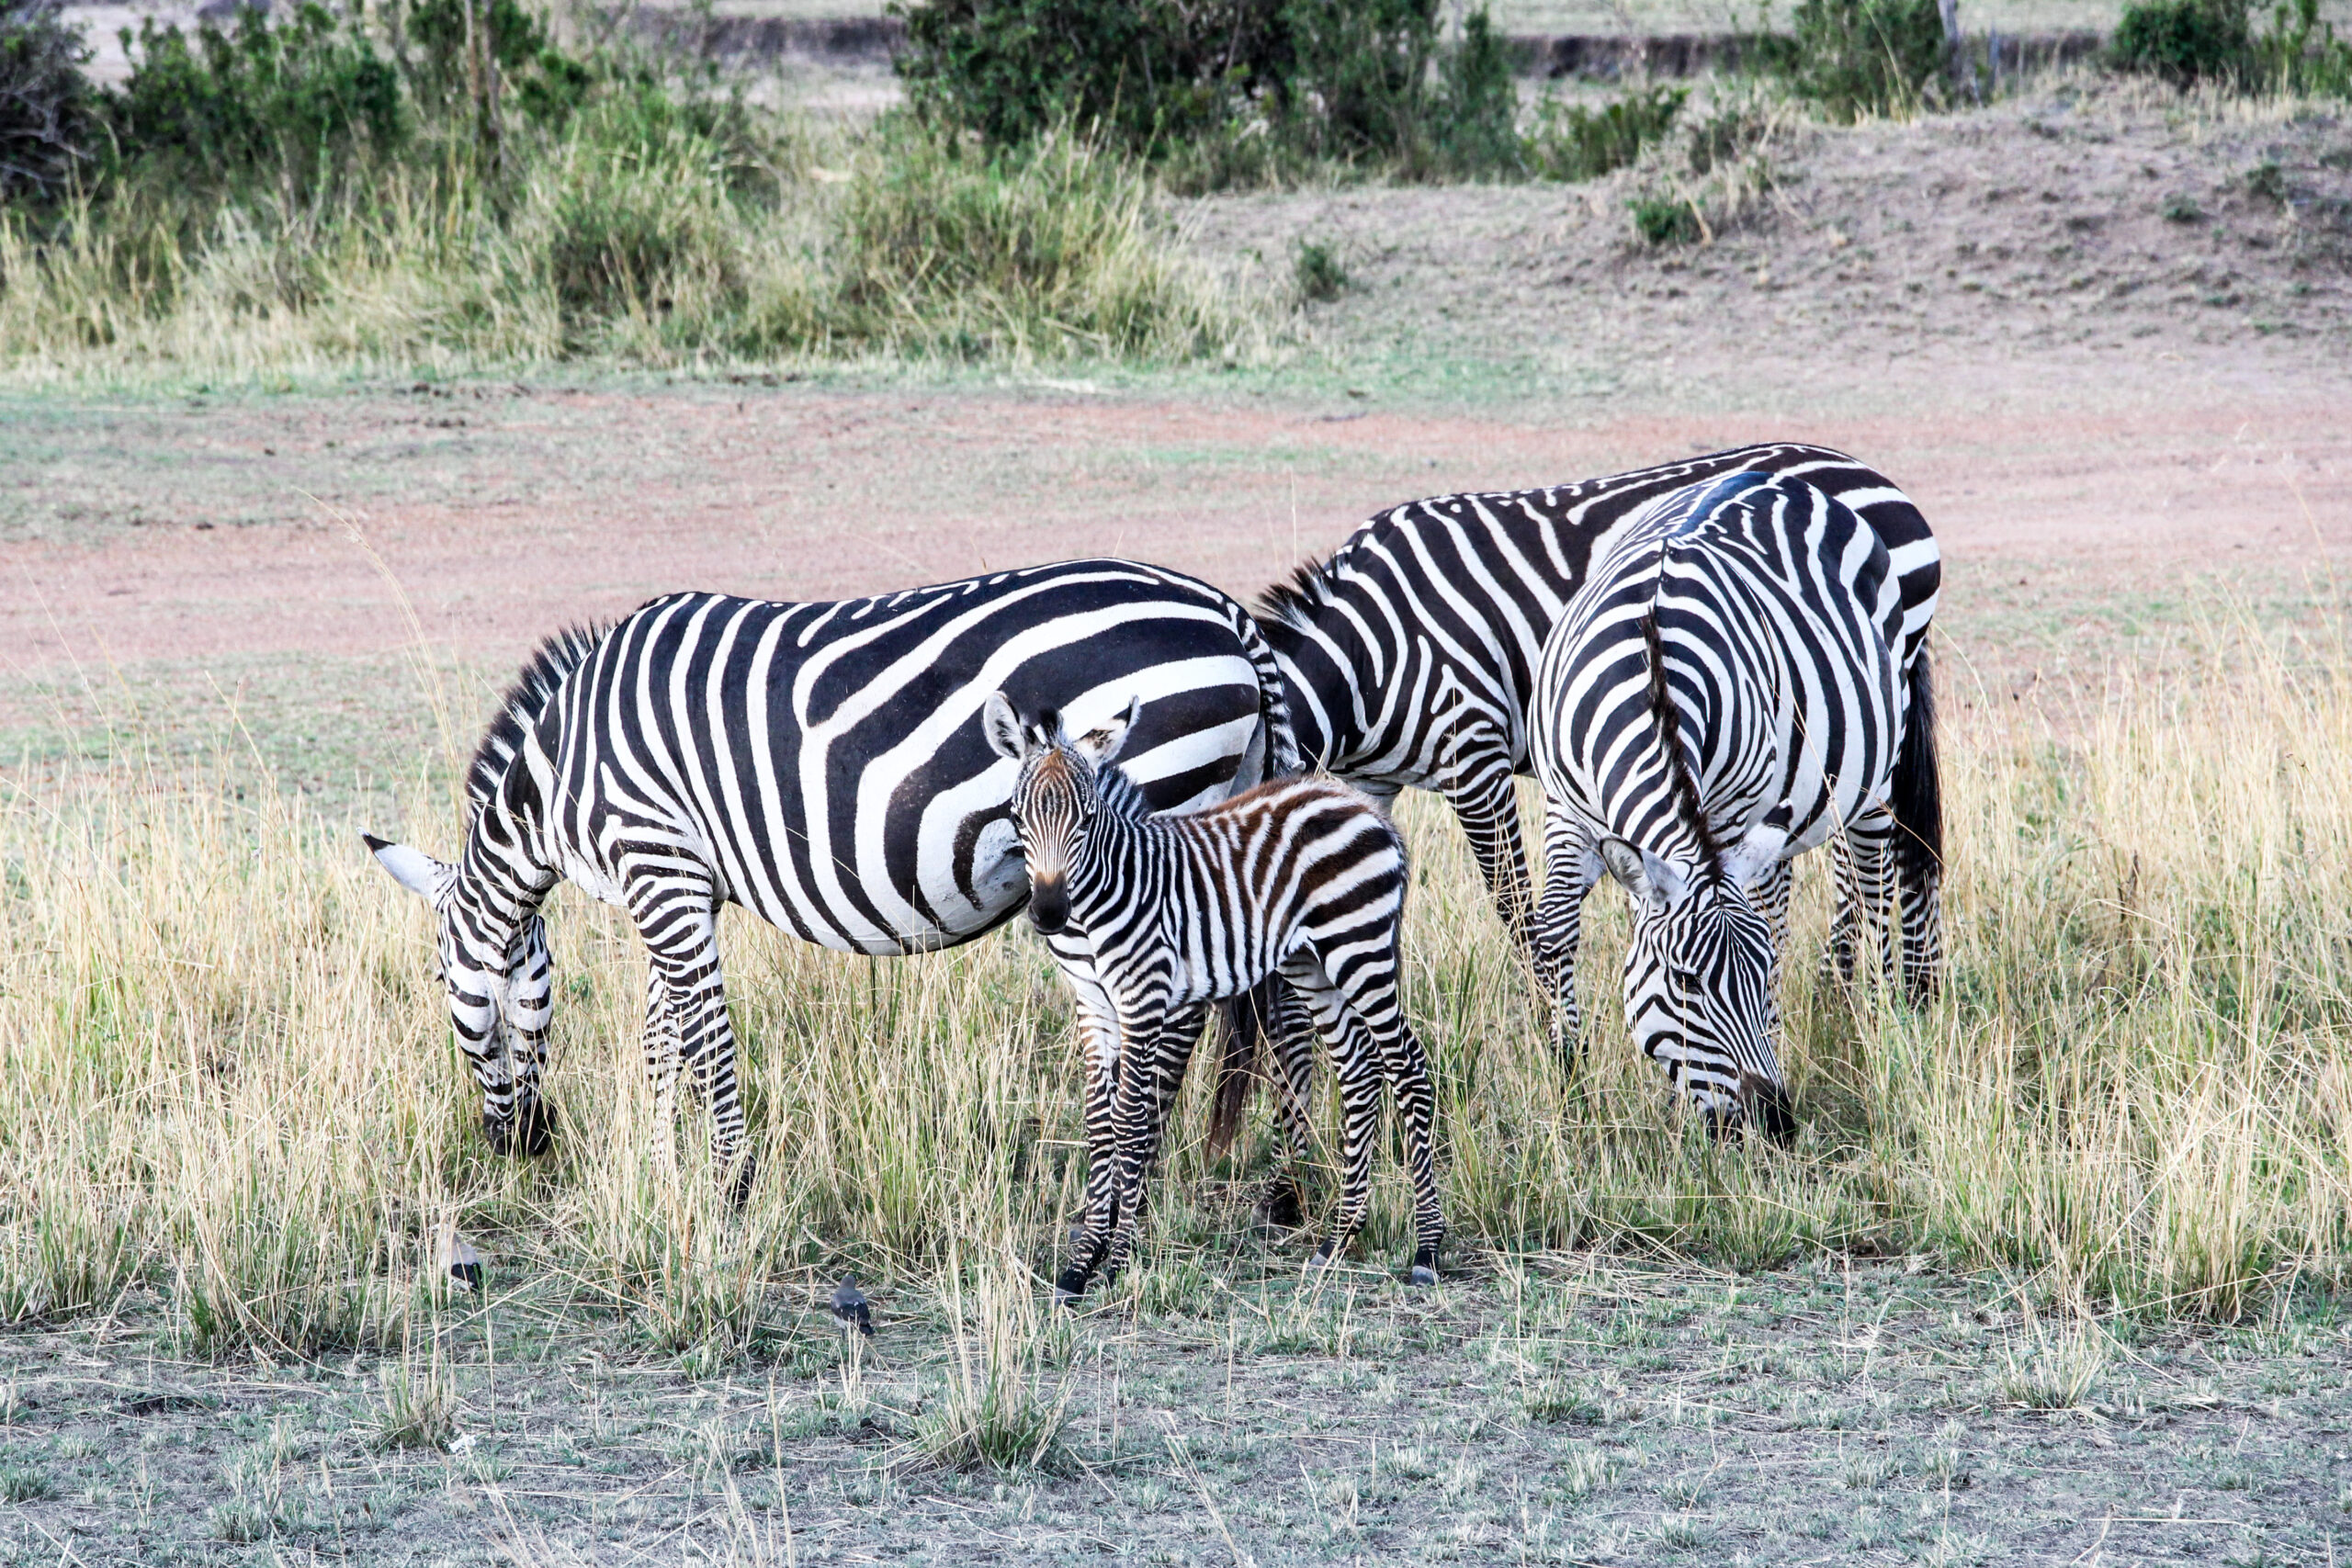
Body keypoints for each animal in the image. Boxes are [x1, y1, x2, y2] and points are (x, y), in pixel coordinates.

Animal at [357, 561, 1298, 1203]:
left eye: (446, 984)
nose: (517, 1144)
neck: (562, 777)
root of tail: (1222, 611)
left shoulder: (658, 863)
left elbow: (703, 1033)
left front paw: (729, 1185)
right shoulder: (680, 879)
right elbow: (663, 1032)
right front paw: (661, 1172)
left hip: (1135, 841)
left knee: (1160, 1023)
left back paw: (1125, 1184)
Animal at [978, 695, 1448, 1297]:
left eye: (1085, 819)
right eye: (1018, 819)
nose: (1048, 913)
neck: (1105, 891)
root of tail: (1362, 806)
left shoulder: (1144, 998)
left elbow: (1132, 1122)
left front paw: (1119, 1258)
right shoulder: (1094, 1005)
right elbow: (1099, 1125)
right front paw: (1081, 1264)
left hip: (1358, 949)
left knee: (1408, 1067)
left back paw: (1427, 1248)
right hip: (1309, 962)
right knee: (1359, 1073)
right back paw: (1338, 1240)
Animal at [1523, 469, 1909, 1142]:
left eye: (1755, 974)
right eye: (1685, 982)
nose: (1774, 1120)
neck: (1650, 672)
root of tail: (1765, 475)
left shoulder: (1730, 813)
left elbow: (1768, 932)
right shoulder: (1566, 810)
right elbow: (1555, 931)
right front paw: (1568, 1073)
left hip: (1871, 776)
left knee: (1870, 887)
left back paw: (1881, 1023)